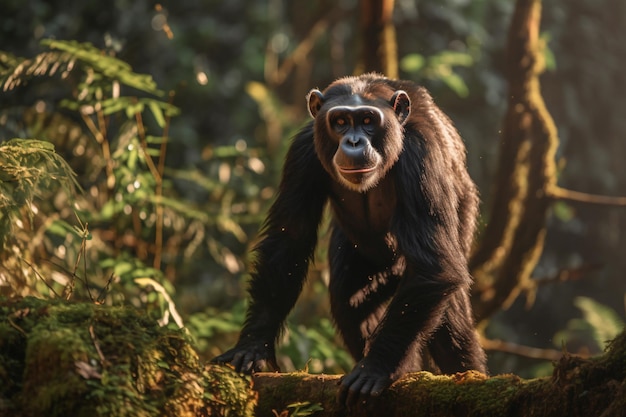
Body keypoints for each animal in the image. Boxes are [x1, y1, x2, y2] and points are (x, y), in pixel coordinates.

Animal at [214, 73, 488, 404]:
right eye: (341, 121)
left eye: (368, 120)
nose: (354, 141)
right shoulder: (302, 152)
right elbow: (289, 241)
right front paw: (253, 346)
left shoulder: (421, 157)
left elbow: (433, 266)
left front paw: (376, 368)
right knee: (349, 301)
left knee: (447, 320)